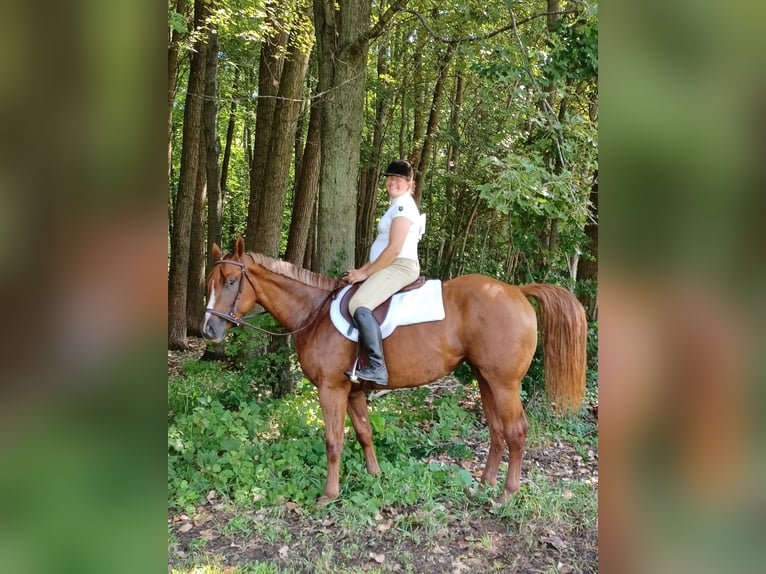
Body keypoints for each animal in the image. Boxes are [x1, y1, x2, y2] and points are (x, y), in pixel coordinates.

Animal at [202, 236, 587, 505]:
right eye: (211, 281)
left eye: (231, 281)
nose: (208, 330)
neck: (313, 312)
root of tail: (516, 291)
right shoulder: (353, 391)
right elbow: (364, 434)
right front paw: (374, 477)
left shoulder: (331, 390)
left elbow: (333, 441)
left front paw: (329, 495)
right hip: (485, 379)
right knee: (496, 431)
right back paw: (482, 486)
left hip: (504, 383)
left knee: (517, 431)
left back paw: (506, 494)